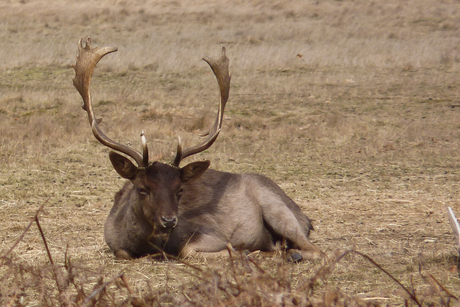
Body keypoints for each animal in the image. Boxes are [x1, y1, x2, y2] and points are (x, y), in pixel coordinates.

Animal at [73, 36, 324, 262]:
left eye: (180, 190)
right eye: (142, 188)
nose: (169, 220)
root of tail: (306, 218)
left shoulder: (211, 234)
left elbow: (188, 250)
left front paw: (243, 251)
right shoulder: (115, 242)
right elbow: (122, 253)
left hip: (279, 210)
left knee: (314, 249)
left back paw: (285, 254)